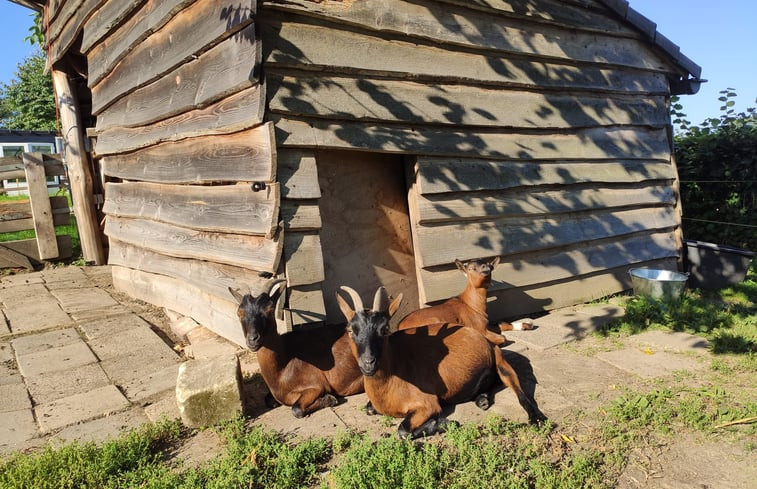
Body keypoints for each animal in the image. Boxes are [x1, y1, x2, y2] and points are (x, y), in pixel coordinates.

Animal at [227, 280, 364, 418]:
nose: (253, 339)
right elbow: (268, 400)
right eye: (239, 313)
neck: (282, 368)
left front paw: (329, 399)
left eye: (270, 310)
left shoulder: (315, 385)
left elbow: (296, 409)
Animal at [336, 284, 544, 440]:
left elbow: (403, 431)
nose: (368, 363)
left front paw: (444, 423)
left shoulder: (427, 404)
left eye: (385, 329)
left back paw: (537, 419)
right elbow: (370, 409)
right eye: (350, 330)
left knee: (519, 390)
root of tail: (478, 335)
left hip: (501, 361)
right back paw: (482, 399)